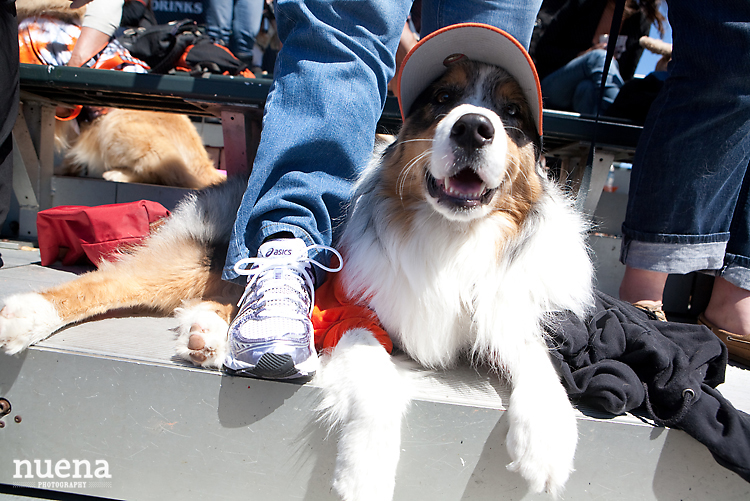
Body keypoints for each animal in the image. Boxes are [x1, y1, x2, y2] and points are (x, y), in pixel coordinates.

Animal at [1, 24, 592, 500]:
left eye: (513, 114)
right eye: (443, 98)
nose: (473, 126)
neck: (451, 235)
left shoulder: (499, 305)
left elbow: (533, 355)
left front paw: (547, 441)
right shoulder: (345, 313)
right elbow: (377, 381)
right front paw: (365, 475)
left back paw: (207, 334)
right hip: (203, 255)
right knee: (109, 282)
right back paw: (26, 316)